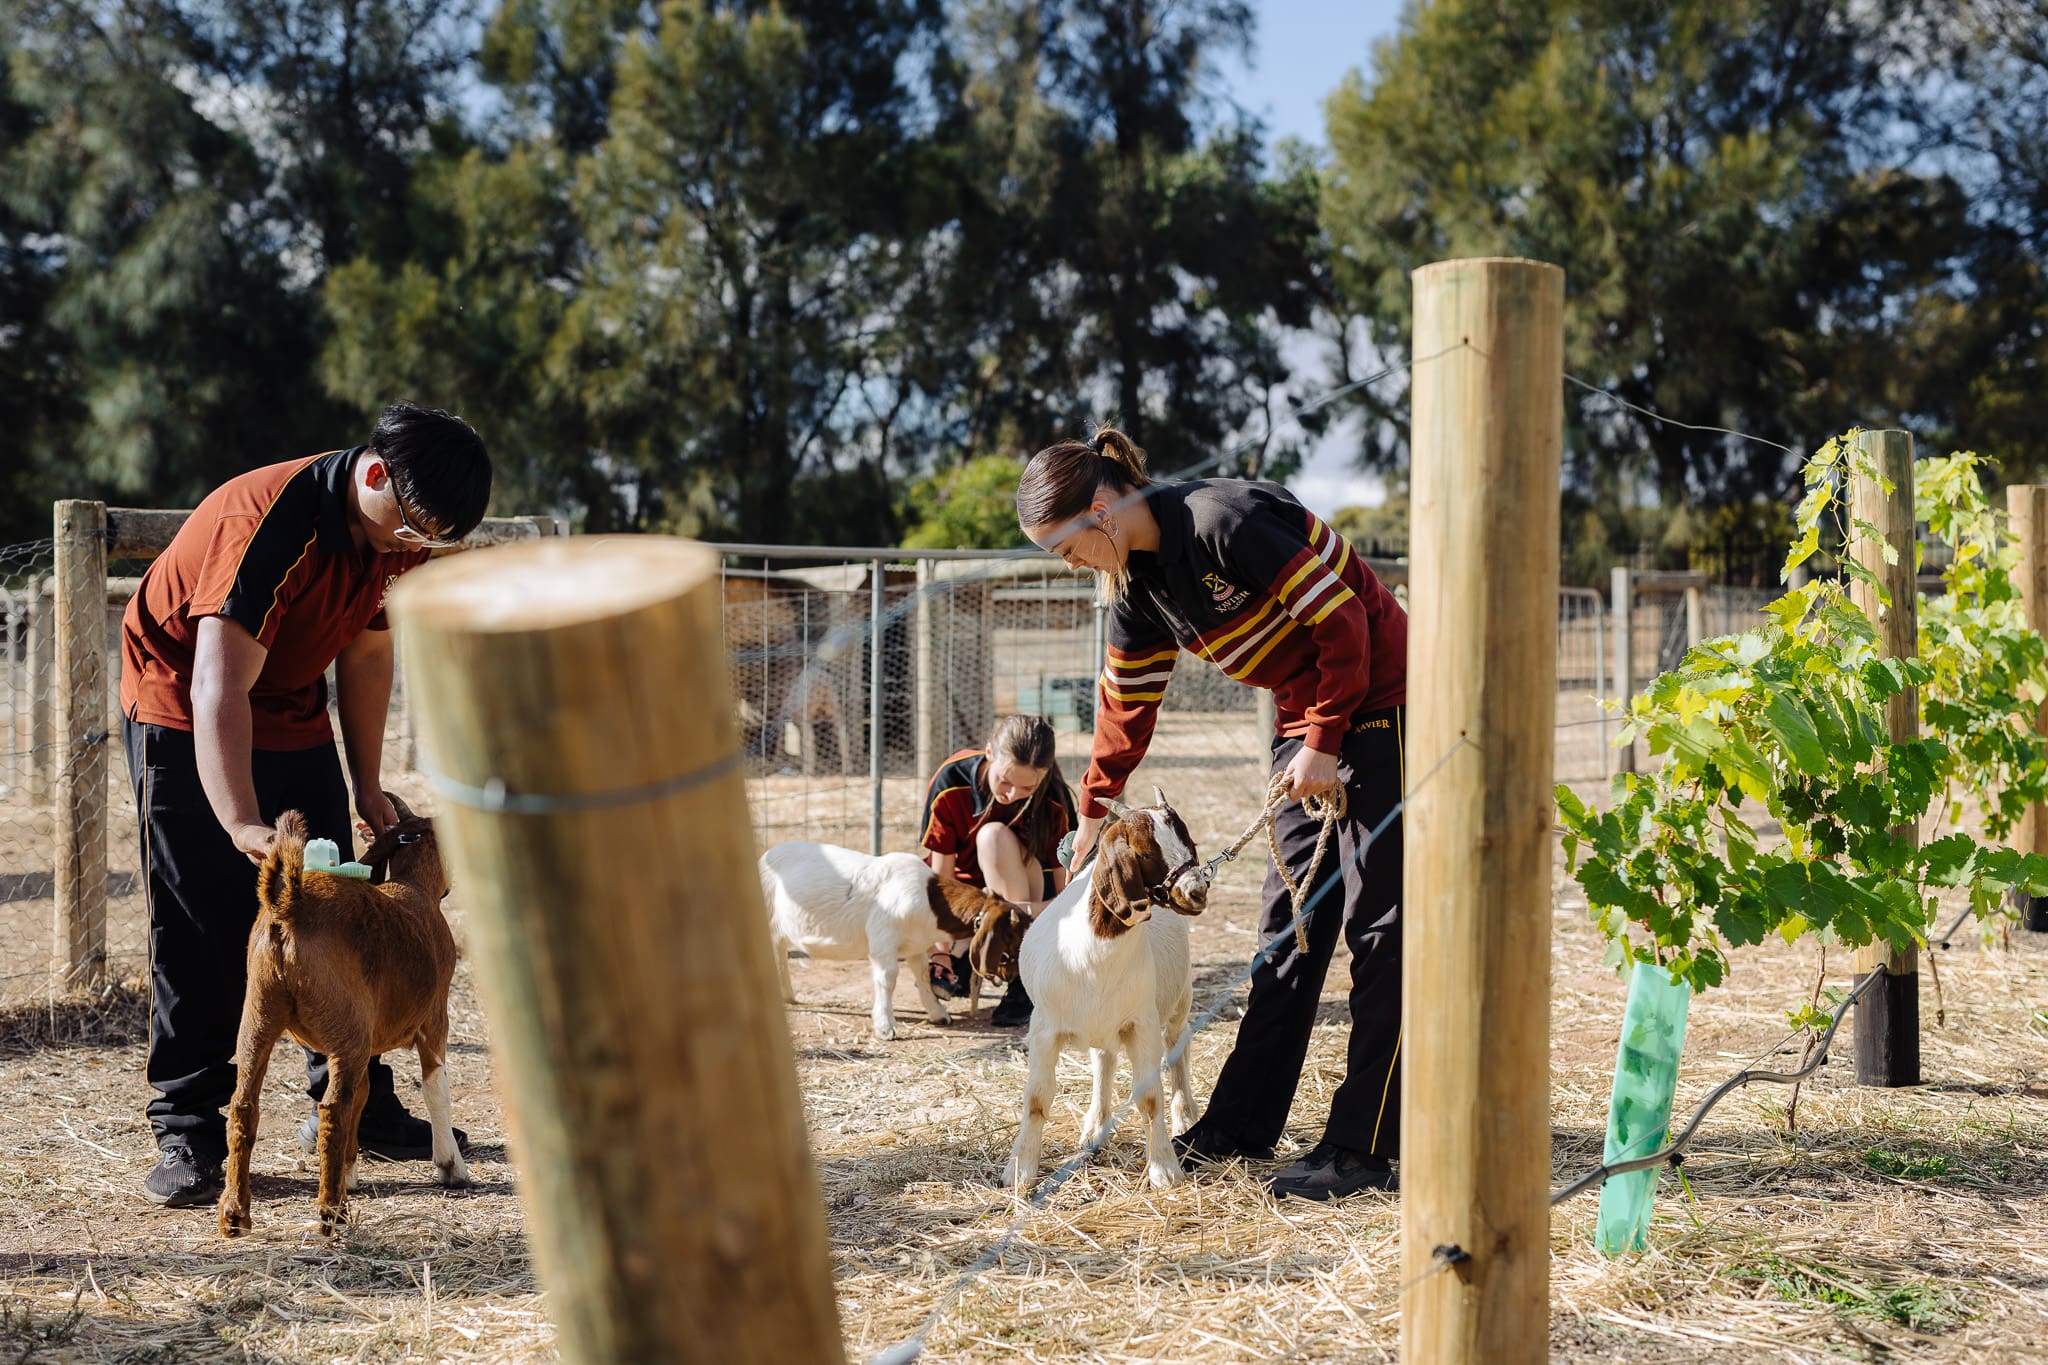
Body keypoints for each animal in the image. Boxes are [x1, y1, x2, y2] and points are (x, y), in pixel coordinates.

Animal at [220, 789, 468, 1236]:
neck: (412, 888)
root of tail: (289, 905)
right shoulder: (434, 1020)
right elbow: (435, 1087)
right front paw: (451, 1167)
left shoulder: (364, 1042)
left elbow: (365, 1095)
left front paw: (348, 1173)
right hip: (345, 1030)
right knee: (332, 1109)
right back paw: (330, 1213)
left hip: (259, 1018)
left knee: (244, 1107)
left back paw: (235, 1215)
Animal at [757, 839, 1032, 1039]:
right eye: (1017, 935)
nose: (1017, 972)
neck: (930, 900)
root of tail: (767, 854)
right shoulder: (883, 941)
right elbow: (887, 980)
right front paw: (885, 1027)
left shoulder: (916, 947)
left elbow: (922, 976)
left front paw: (938, 1014)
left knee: (778, 947)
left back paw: (787, 995)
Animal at [1011, 785, 1212, 1186]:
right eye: (1146, 852)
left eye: (1190, 843)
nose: (1197, 891)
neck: (1091, 955)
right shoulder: (1044, 1029)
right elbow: (1037, 1099)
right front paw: (1021, 1170)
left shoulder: (1142, 1023)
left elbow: (1150, 1097)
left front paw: (1164, 1168)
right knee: (1103, 1062)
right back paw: (1094, 1129)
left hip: (1179, 999)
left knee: (1178, 1046)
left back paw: (1185, 1115)